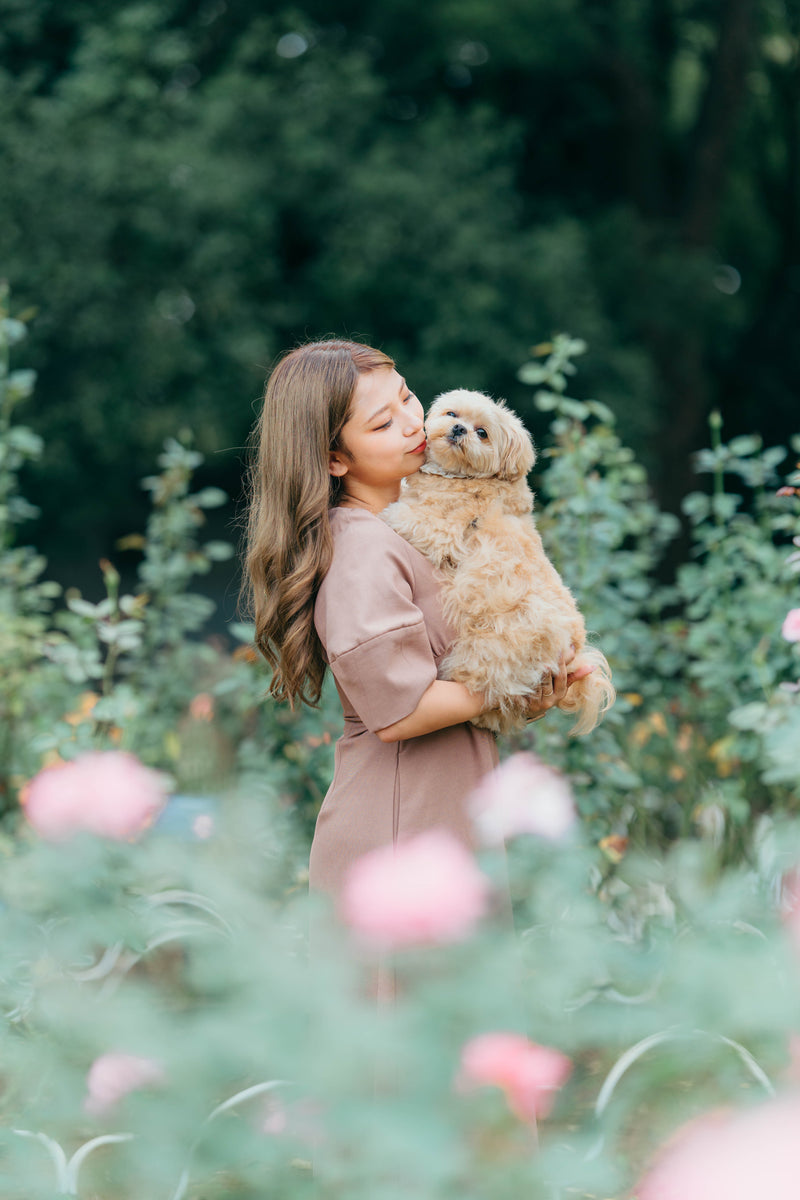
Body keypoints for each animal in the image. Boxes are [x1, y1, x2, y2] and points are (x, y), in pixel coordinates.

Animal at [381, 388, 614, 734]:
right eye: (452, 414)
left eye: (482, 433)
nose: (459, 429)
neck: (462, 477)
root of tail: (575, 655)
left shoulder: (440, 530)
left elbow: (402, 513)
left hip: (491, 646)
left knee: (489, 688)